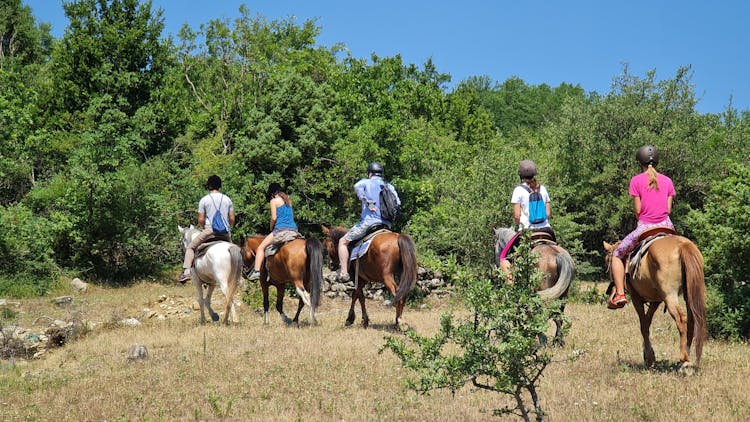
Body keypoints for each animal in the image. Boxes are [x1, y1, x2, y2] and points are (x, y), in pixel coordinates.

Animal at [604, 236, 708, 370]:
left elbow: (643, 325)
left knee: (681, 319)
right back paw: (687, 357)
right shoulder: (656, 300)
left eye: (607, 261)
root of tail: (683, 245)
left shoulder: (636, 297)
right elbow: (647, 323)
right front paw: (649, 354)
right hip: (689, 294)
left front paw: (649, 358)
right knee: (692, 320)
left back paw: (684, 359)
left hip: (669, 295)